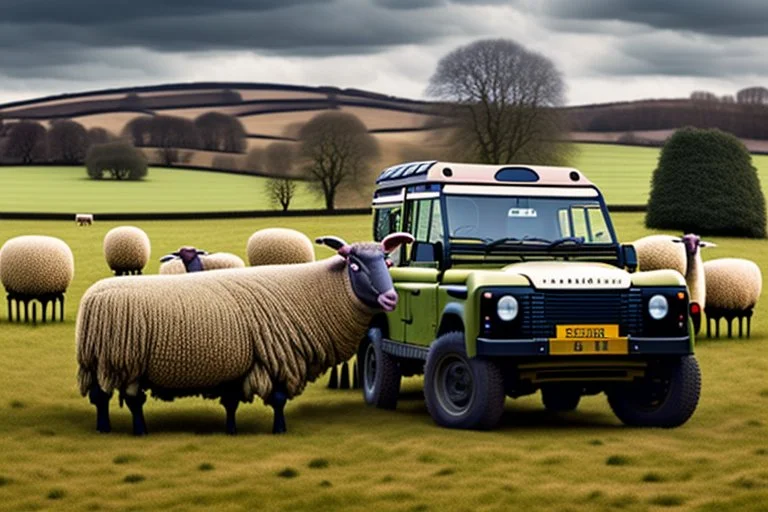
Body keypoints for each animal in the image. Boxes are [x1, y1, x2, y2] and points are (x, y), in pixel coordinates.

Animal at [76, 232, 414, 436]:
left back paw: (108, 427)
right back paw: (133, 430)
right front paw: (280, 430)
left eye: (387, 261)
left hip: (102, 361)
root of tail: (93, 296)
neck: (314, 290)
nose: (390, 299)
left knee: (103, 397)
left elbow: (231, 401)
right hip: (122, 360)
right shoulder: (277, 359)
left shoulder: (240, 363)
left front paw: (231, 430)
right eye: (355, 266)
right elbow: (278, 399)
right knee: (128, 400)